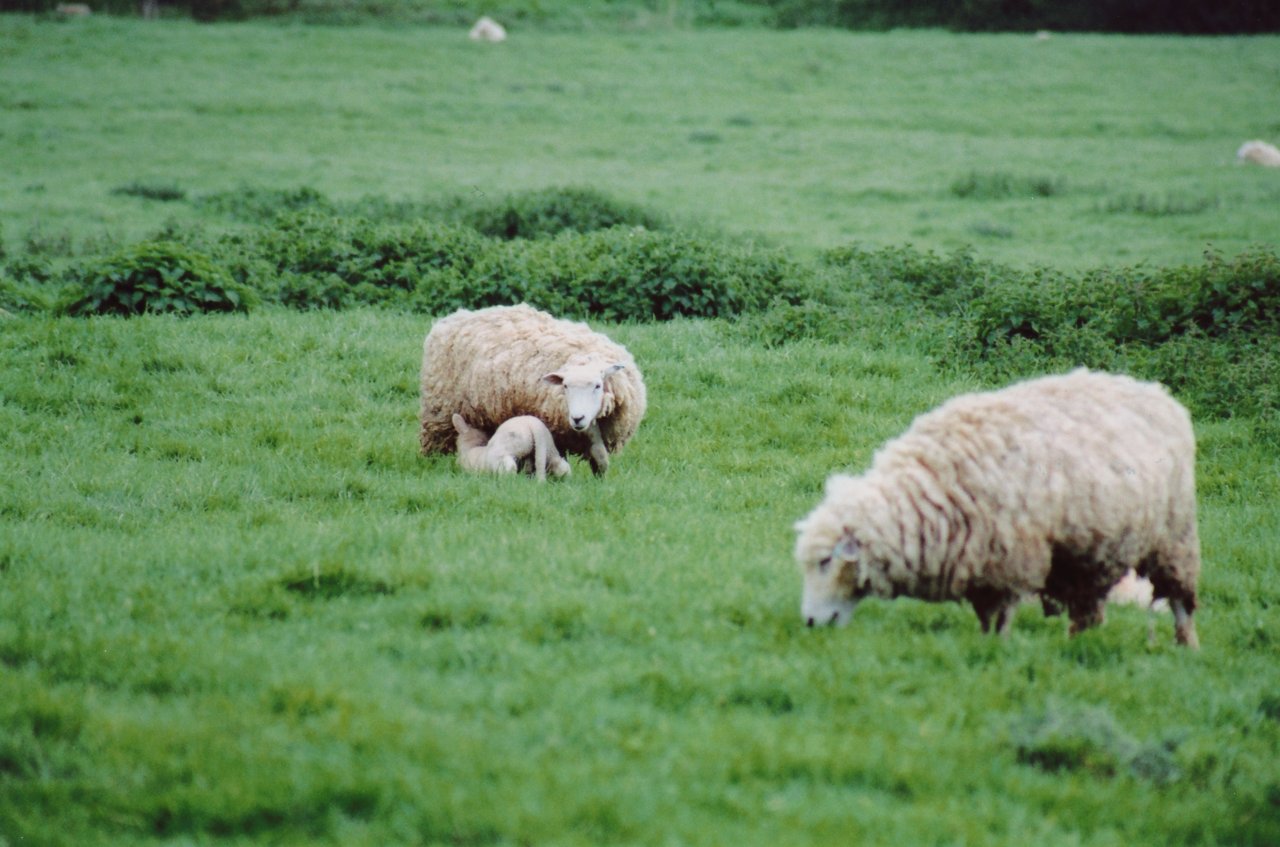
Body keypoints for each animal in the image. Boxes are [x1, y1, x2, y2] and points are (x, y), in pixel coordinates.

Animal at [422, 305, 650, 478]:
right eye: (565, 386)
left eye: (598, 385)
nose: (577, 418)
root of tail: (456, 316)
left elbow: (600, 456)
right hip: (439, 415)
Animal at [793, 371, 1203, 649]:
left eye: (826, 562)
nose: (810, 622)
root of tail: (1156, 392)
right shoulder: (981, 565)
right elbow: (986, 615)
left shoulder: (1009, 561)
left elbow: (1001, 616)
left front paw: (998, 652)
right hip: (1090, 550)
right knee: (1088, 608)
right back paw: (1078, 646)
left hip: (1175, 536)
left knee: (1180, 602)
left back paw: (1186, 647)